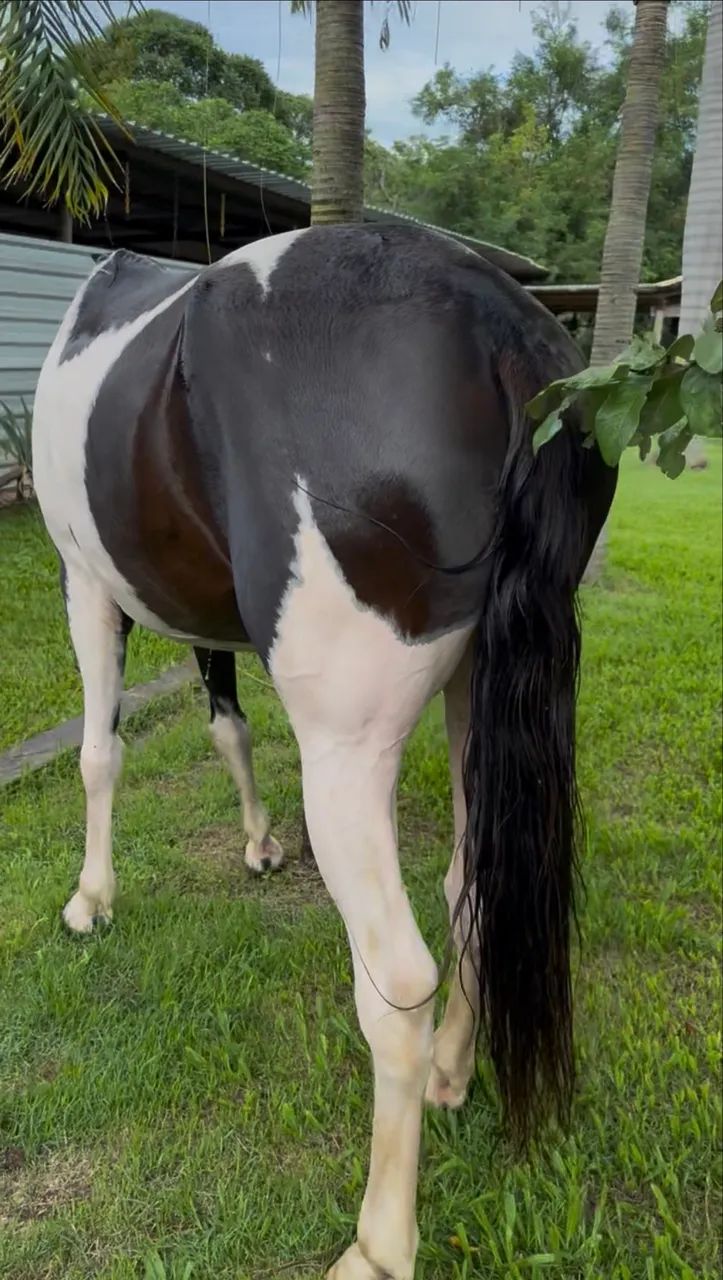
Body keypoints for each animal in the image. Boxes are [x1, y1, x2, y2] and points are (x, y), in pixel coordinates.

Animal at [32, 223, 616, 1280]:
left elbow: (99, 755)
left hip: (346, 755)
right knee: (470, 884)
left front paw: (92, 898)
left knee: (398, 980)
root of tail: (497, 326)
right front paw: (260, 844)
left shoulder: (84, 586)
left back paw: (379, 1243)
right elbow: (225, 722)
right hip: (477, 692)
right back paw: (453, 1073)